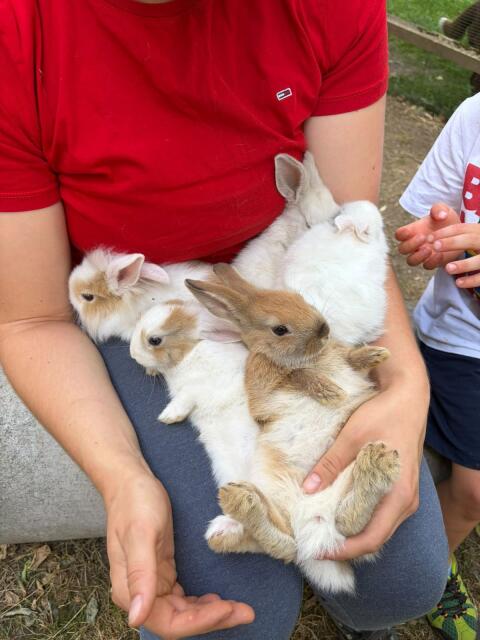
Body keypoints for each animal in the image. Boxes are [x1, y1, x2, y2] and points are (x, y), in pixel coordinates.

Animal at [129, 299, 263, 552]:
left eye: (155, 340)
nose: (132, 354)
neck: (190, 352)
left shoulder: (201, 387)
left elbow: (186, 397)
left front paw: (168, 416)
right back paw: (220, 531)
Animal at [185, 264, 400, 594]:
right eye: (280, 330)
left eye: (299, 298)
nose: (324, 330)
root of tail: (313, 533)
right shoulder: (263, 391)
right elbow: (297, 375)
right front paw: (329, 391)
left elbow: (349, 361)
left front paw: (375, 355)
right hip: (261, 513)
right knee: (284, 544)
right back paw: (243, 501)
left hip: (344, 478)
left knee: (341, 524)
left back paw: (375, 464)